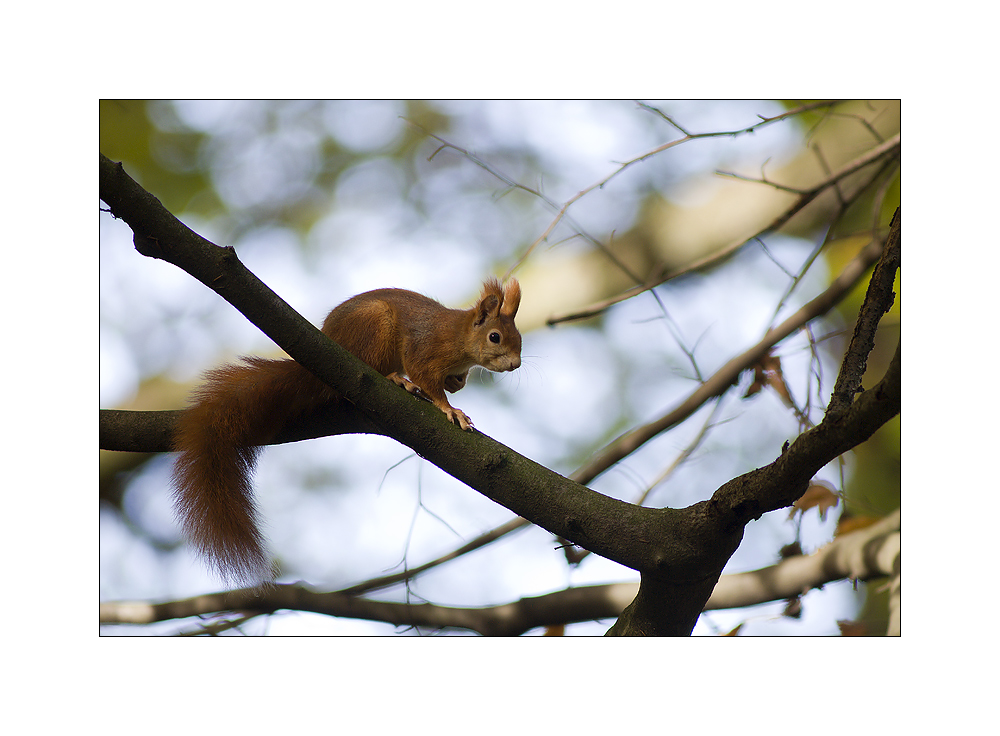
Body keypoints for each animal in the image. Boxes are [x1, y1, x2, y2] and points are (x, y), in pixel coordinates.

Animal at [170, 276, 524, 588]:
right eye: (495, 337)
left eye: (518, 337)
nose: (516, 365)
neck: (459, 337)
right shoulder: (424, 347)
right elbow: (425, 376)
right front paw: (449, 408)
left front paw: (456, 385)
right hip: (375, 328)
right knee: (374, 364)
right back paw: (396, 378)